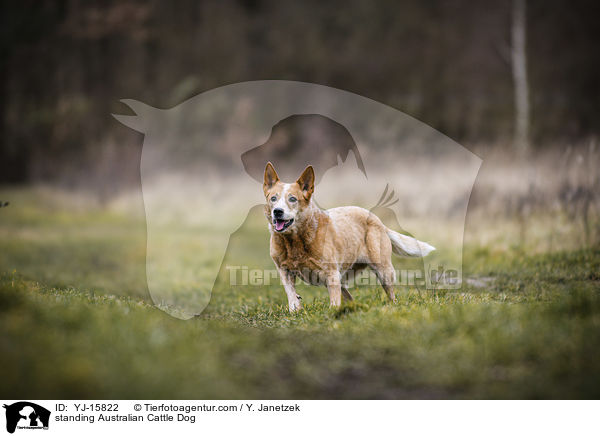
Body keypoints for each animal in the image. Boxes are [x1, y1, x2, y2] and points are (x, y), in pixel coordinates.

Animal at [262, 162, 436, 312]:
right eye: (273, 198)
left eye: (292, 199)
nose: (277, 211)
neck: (294, 240)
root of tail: (378, 221)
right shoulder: (283, 269)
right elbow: (290, 292)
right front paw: (295, 308)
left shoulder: (331, 274)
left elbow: (334, 299)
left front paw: (332, 312)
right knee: (349, 296)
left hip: (383, 270)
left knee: (391, 294)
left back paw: (391, 305)